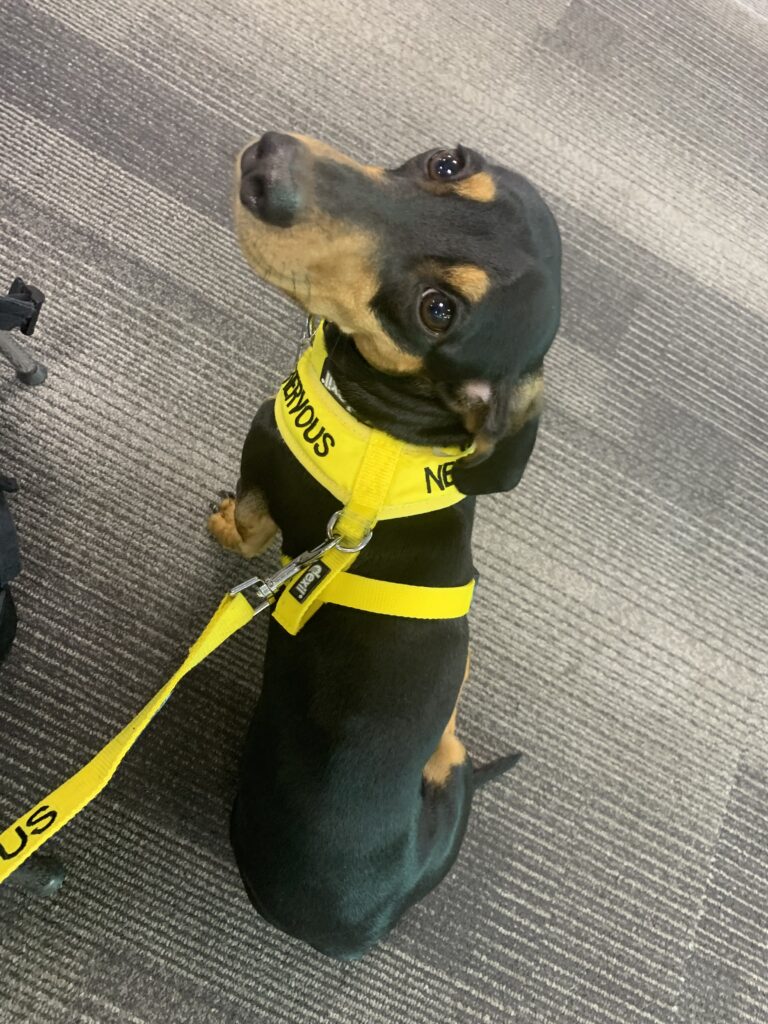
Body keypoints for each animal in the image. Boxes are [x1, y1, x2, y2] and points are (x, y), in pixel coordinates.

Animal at [208, 132, 561, 954]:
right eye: (448, 163)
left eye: (438, 311)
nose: (267, 166)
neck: (393, 424)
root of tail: (380, 911)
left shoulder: (261, 473)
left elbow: (249, 529)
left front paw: (225, 531)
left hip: (451, 795)